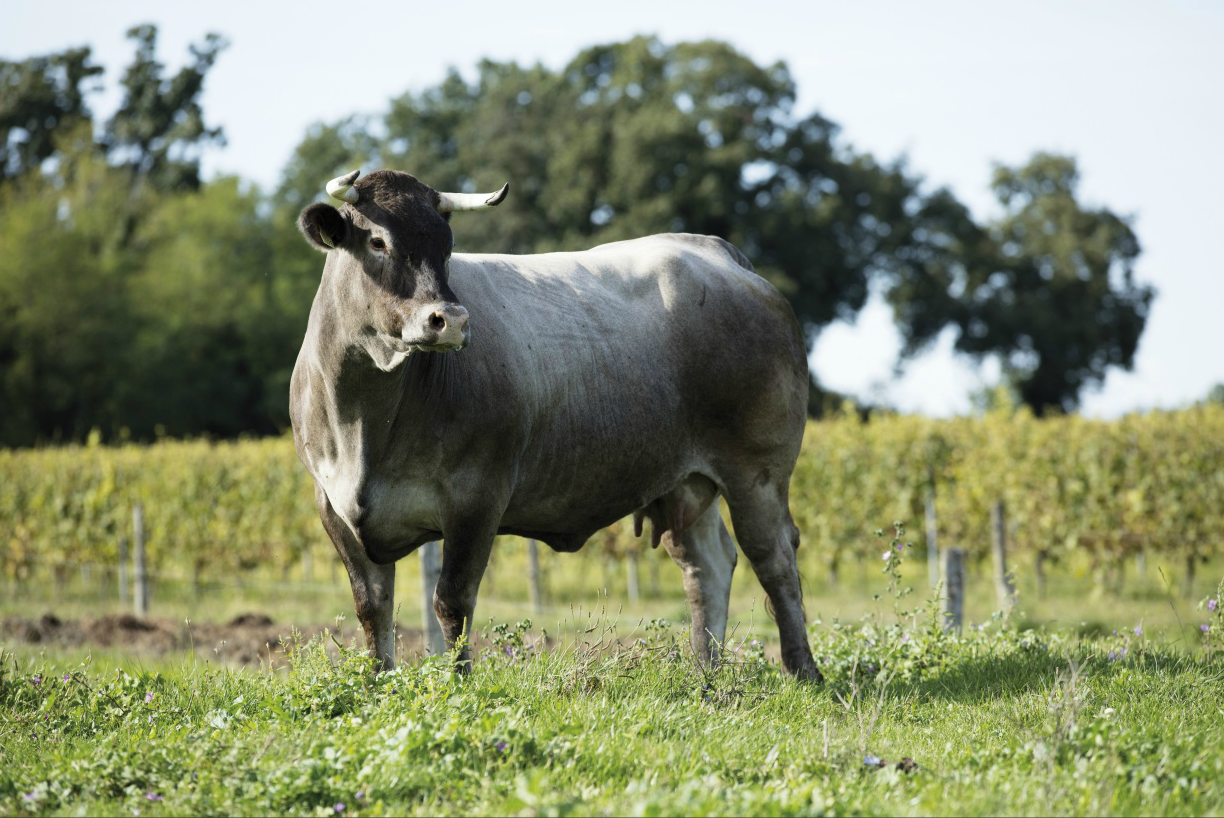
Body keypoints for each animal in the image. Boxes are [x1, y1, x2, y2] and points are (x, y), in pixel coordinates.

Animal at [290, 168, 821, 682]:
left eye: (447, 247)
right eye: (378, 242)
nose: (453, 320)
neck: (364, 424)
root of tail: (715, 253)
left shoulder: (477, 498)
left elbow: (452, 602)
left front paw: (460, 686)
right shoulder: (333, 506)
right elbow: (372, 606)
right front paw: (377, 685)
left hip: (757, 472)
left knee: (774, 558)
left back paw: (803, 672)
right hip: (683, 479)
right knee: (708, 566)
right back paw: (705, 676)